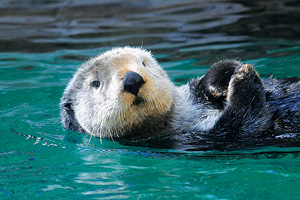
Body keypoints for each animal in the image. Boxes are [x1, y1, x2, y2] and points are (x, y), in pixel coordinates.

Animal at [59, 47, 298, 149]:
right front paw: (243, 77)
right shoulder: (199, 138)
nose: (132, 79)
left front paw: (222, 79)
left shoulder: (192, 94)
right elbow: (245, 122)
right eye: (95, 83)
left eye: (143, 63)